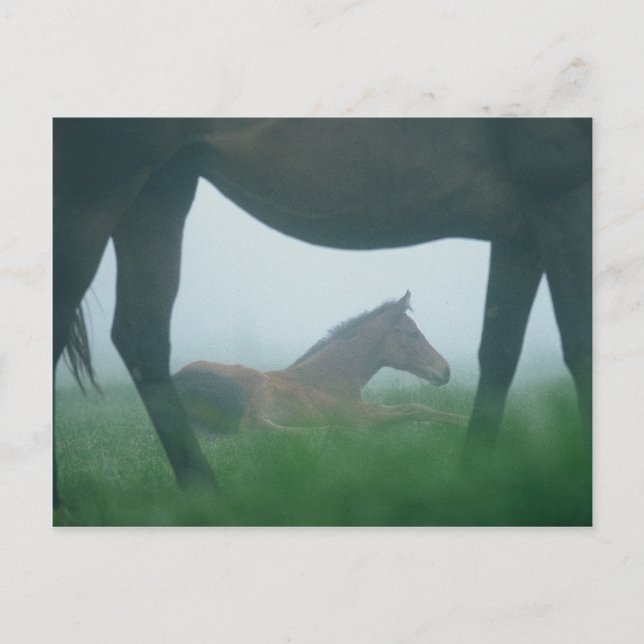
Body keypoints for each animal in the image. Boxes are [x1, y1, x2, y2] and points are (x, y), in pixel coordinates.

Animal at [173, 292, 468, 434]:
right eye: (413, 333)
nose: (445, 370)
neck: (327, 379)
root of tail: (179, 382)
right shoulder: (360, 415)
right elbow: (414, 409)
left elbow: (416, 407)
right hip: (257, 384)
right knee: (253, 428)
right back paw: (333, 432)